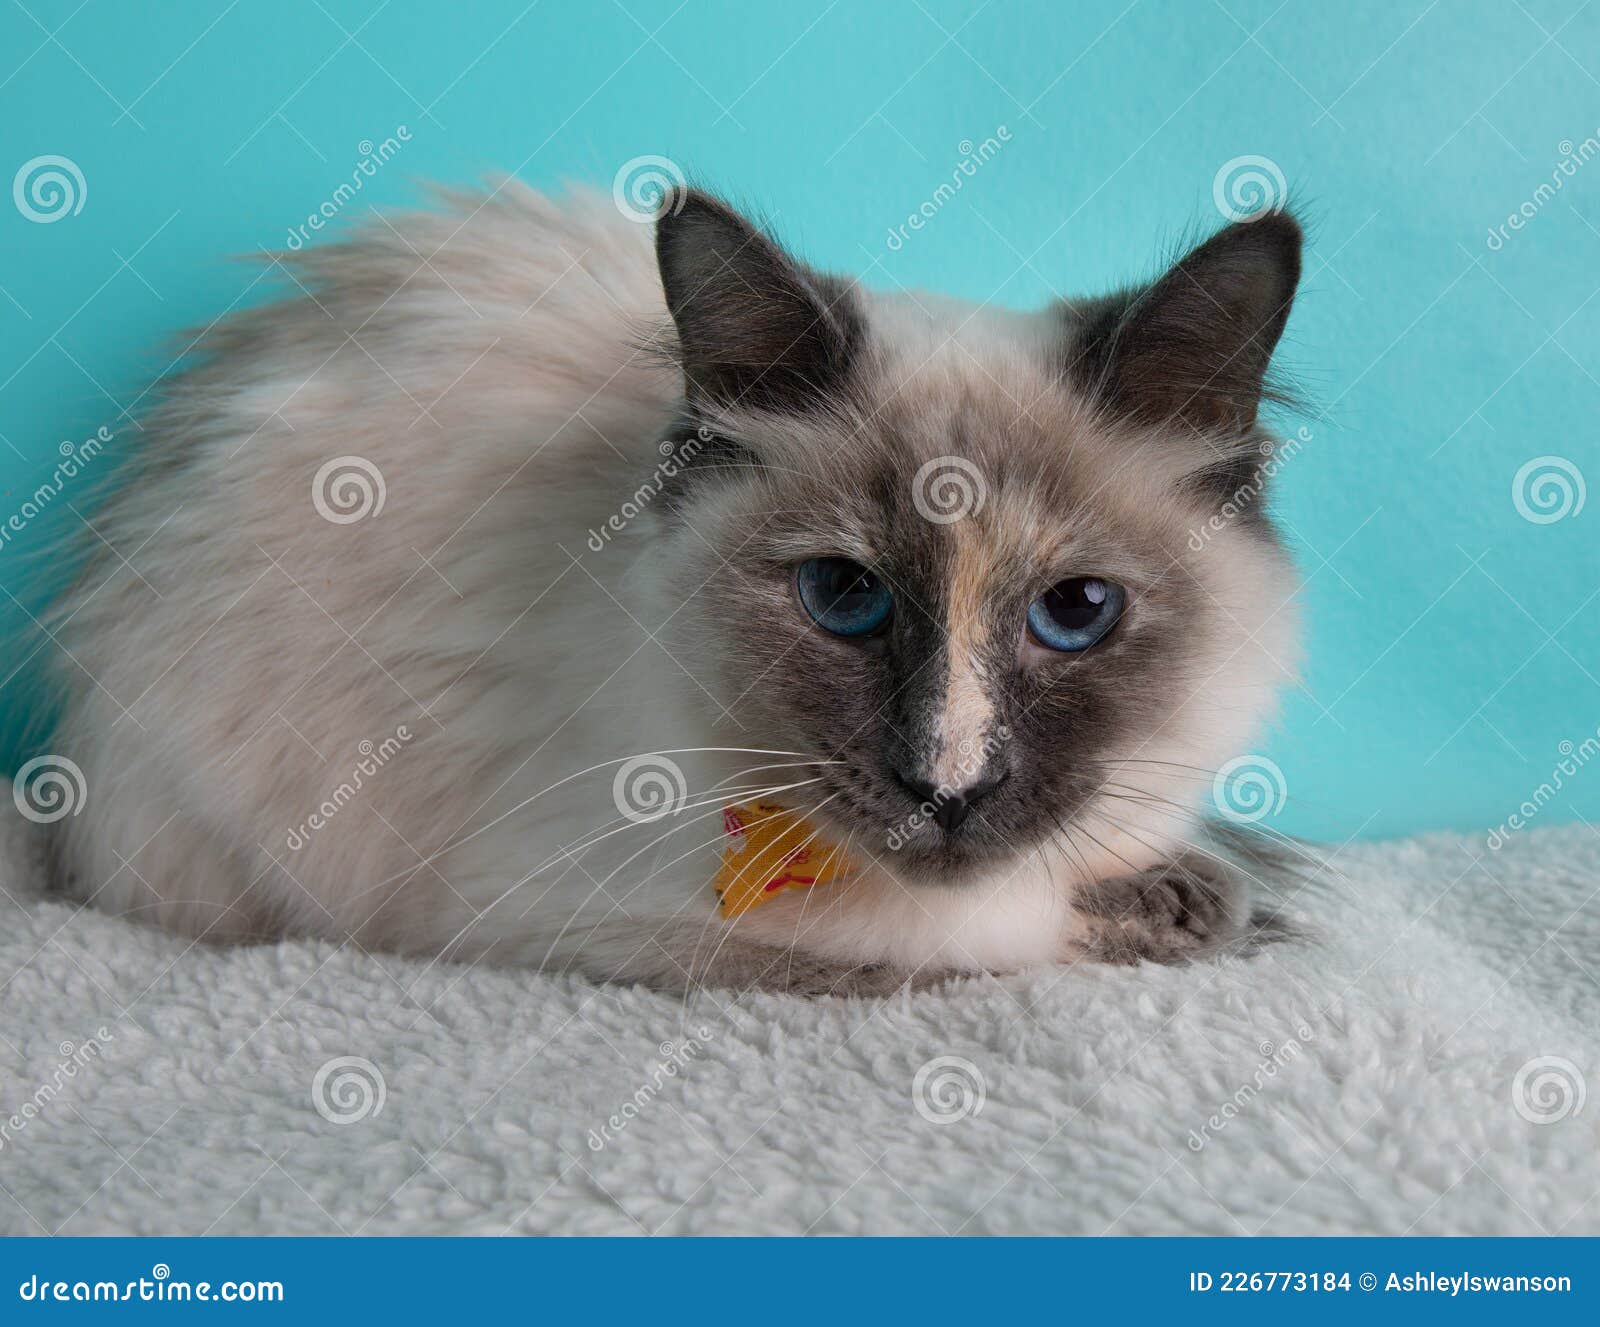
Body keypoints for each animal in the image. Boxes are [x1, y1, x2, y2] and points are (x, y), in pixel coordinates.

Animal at [37, 184, 1305, 992]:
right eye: (842, 596)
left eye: (1075, 614)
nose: (946, 787)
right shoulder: (578, 917)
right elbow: (978, 937)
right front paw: (1182, 918)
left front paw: (1200, 893)